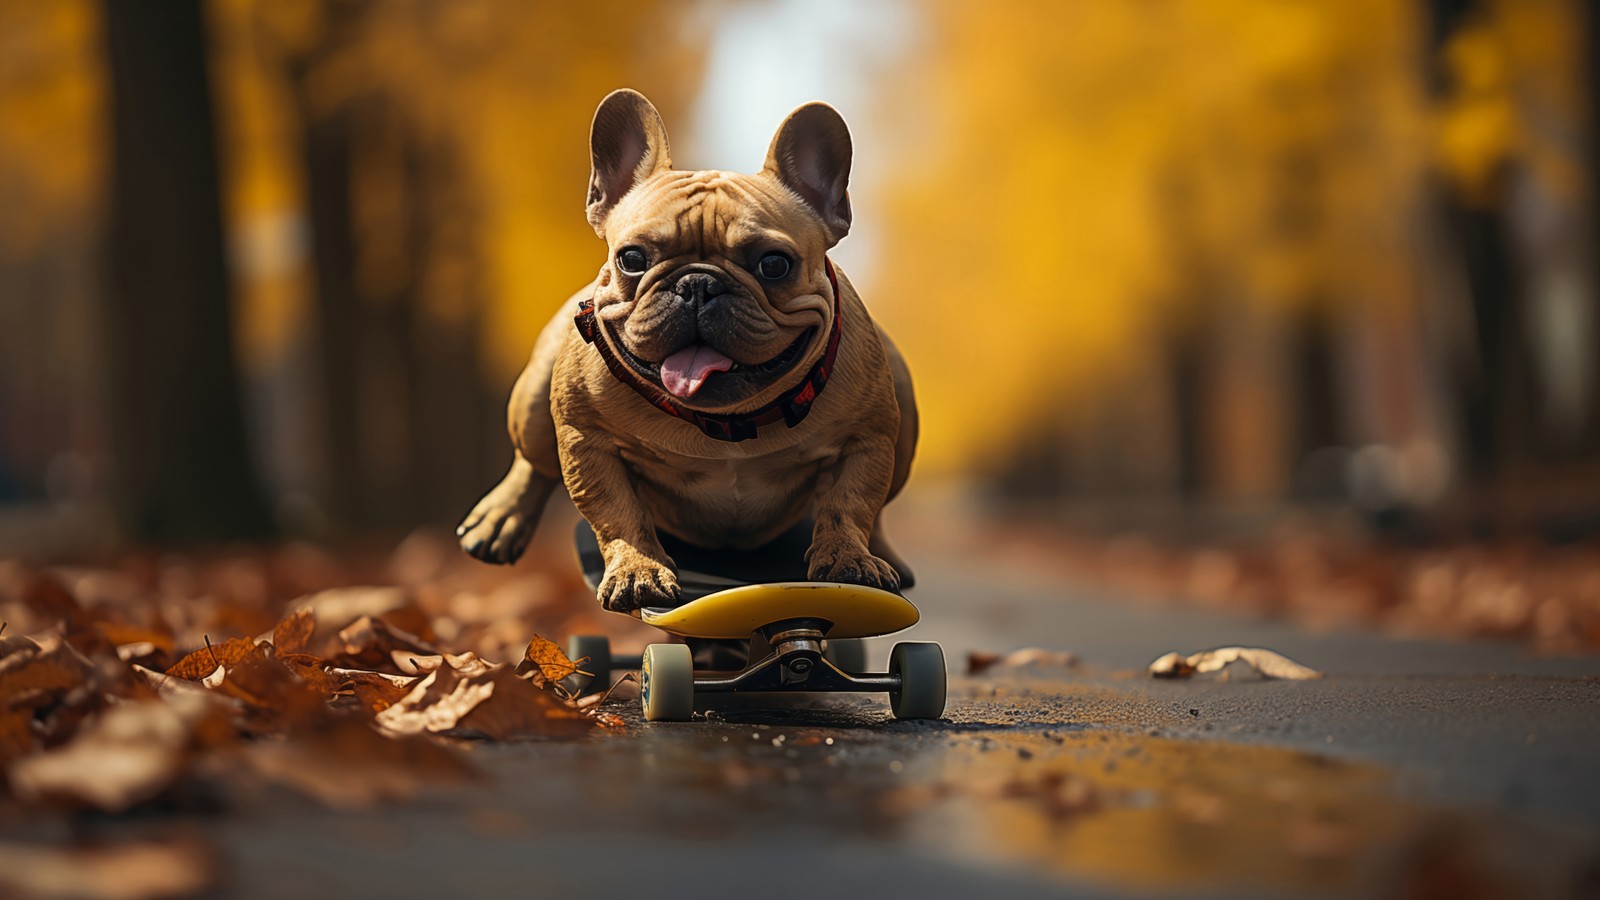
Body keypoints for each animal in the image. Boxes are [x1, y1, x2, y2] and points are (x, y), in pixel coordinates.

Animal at [457, 89, 921, 608]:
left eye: (774, 264)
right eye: (631, 258)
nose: (697, 284)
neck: (728, 423)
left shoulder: (868, 439)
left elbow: (851, 502)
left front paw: (847, 558)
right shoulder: (585, 438)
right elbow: (616, 511)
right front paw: (638, 570)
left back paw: (883, 555)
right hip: (535, 396)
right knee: (533, 462)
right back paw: (500, 519)